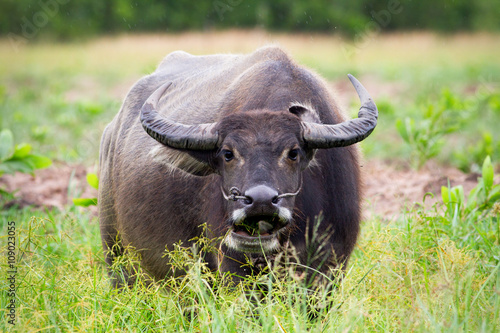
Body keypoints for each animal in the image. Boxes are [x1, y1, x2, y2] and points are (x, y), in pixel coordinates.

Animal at [98, 45, 378, 286]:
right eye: (227, 154)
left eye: (294, 153)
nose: (260, 202)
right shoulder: (232, 265)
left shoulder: (329, 267)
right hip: (116, 254)